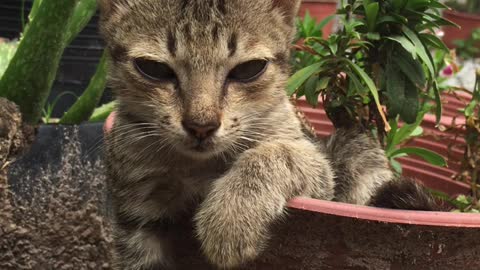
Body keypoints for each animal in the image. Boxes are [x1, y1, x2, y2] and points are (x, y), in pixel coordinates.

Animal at [98, 1, 428, 268]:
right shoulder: (137, 213)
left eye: (249, 69)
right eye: (152, 68)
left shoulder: (317, 168)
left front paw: (231, 217)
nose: (201, 126)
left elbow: (276, 154)